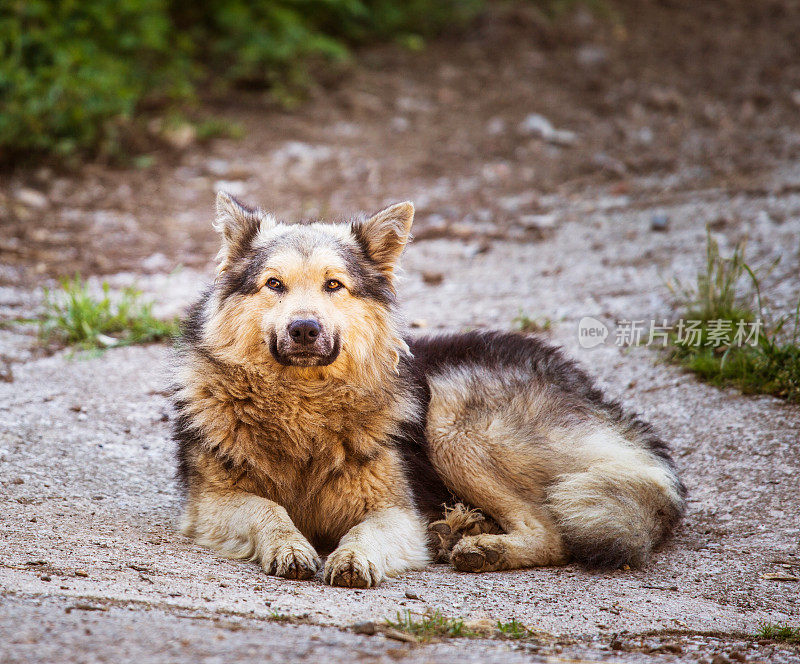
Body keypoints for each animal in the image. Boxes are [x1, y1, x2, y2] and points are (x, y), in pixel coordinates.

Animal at [175, 192, 688, 588]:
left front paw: (353, 558)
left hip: (451, 423)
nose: (304, 329)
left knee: (552, 532)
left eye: (334, 285)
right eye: (274, 284)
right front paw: (291, 548)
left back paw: (481, 547)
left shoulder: (398, 510)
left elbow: (365, 534)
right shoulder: (212, 504)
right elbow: (269, 510)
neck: (304, 406)